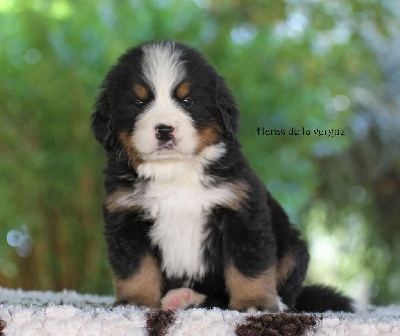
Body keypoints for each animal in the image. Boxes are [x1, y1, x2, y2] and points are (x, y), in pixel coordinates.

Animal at [90, 41, 354, 312]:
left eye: (187, 101)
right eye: (139, 103)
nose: (164, 130)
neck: (174, 172)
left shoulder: (241, 212)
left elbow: (249, 267)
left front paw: (253, 303)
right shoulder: (126, 216)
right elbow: (136, 269)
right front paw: (135, 302)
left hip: (293, 247)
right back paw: (182, 298)